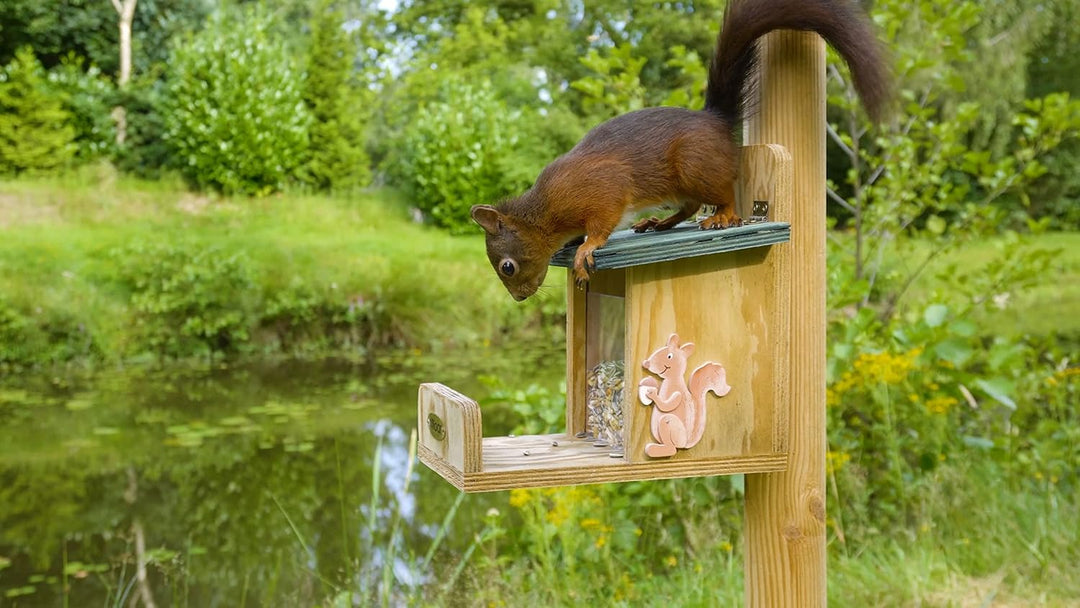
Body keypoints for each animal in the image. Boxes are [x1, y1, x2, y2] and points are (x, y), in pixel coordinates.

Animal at [470, 0, 890, 301]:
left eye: (507, 267)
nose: (520, 298)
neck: (545, 211)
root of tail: (716, 120)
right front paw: (578, 242)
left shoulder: (601, 190)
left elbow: (602, 223)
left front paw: (586, 246)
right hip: (678, 185)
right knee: (688, 206)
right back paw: (658, 223)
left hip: (694, 165)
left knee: (721, 193)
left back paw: (722, 216)